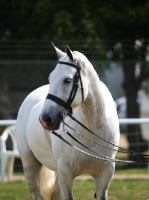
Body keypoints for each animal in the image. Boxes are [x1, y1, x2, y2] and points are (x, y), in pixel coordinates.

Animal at [16, 44, 120, 200]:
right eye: (50, 78)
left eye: (67, 80)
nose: (45, 119)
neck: (92, 127)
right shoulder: (65, 173)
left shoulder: (105, 173)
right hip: (30, 164)